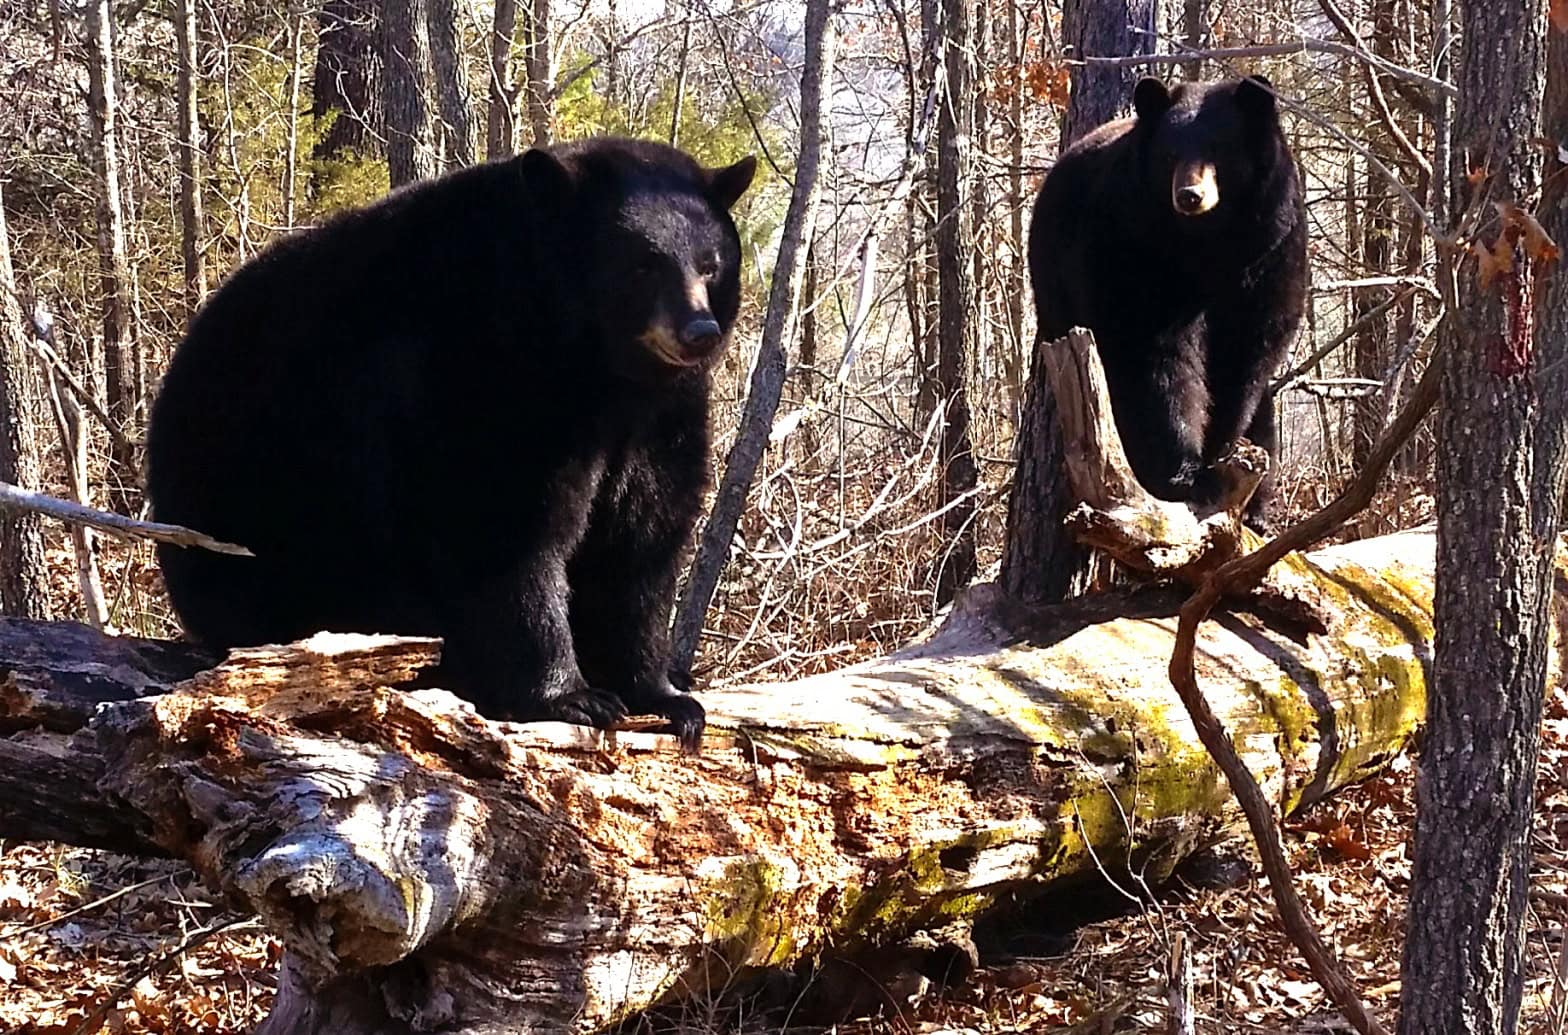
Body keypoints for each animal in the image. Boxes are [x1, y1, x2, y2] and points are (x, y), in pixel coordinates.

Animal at [147, 139, 758, 752]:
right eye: (642, 264)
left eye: (711, 264)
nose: (699, 331)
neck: (598, 367)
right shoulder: (469, 372)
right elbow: (500, 528)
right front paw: (572, 696)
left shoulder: (659, 416)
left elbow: (641, 542)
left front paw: (665, 694)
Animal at [1028, 74, 1310, 526]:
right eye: (1170, 154)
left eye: (1219, 148)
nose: (1190, 195)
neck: (1205, 241)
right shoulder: (1136, 245)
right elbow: (1156, 354)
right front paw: (1187, 474)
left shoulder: (1270, 248)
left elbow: (1248, 353)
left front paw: (1221, 454)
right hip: (1056, 285)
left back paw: (1258, 507)